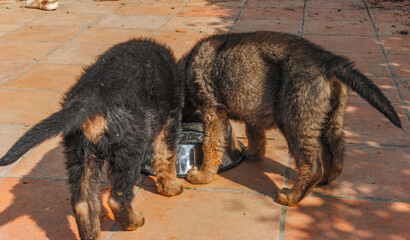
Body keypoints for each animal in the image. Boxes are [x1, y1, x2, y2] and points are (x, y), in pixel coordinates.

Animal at [0, 38, 183, 239]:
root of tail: (89, 100)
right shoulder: (171, 119)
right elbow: (166, 157)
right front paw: (172, 187)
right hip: (128, 150)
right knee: (117, 199)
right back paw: (134, 221)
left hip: (80, 154)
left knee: (83, 204)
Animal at [178, 31, 402, 206]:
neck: (187, 68)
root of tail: (327, 61)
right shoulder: (253, 106)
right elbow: (254, 133)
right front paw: (253, 152)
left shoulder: (212, 110)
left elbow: (210, 144)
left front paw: (203, 175)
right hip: (333, 120)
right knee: (336, 155)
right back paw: (325, 180)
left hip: (295, 121)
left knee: (312, 167)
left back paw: (292, 196)